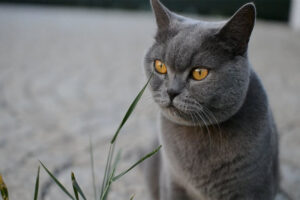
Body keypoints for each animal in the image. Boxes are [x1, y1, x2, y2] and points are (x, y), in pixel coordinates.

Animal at [142, 0, 282, 200]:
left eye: (199, 73)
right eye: (160, 66)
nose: (171, 91)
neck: (199, 133)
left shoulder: (254, 189)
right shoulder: (172, 182)